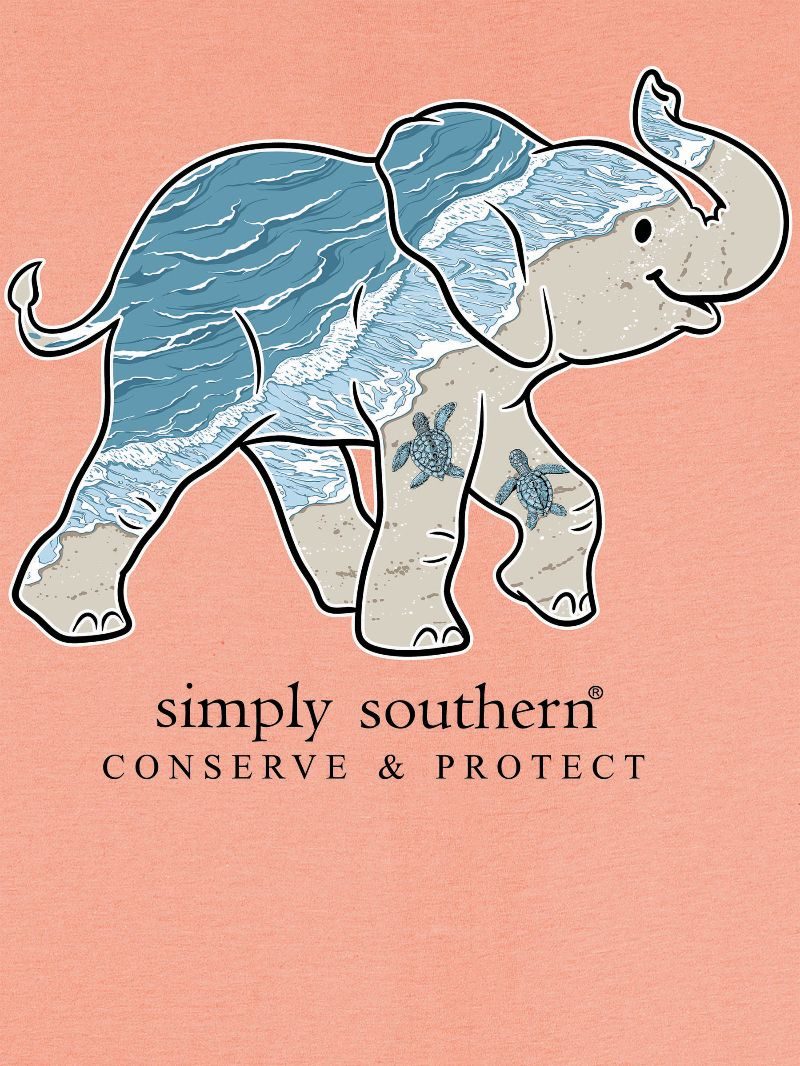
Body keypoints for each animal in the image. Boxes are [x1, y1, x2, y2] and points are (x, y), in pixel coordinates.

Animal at [7, 69, 788, 656]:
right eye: (645, 230)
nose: (662, 91)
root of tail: (124, 271)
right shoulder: (424, 349)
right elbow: (434, 479)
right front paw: (427, 644)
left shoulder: (492, 360)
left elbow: (528, 465)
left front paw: (560, 605)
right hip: (192, 352)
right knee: (145, 466)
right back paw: (82, 623)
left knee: (296, 459)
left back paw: (342, 597)